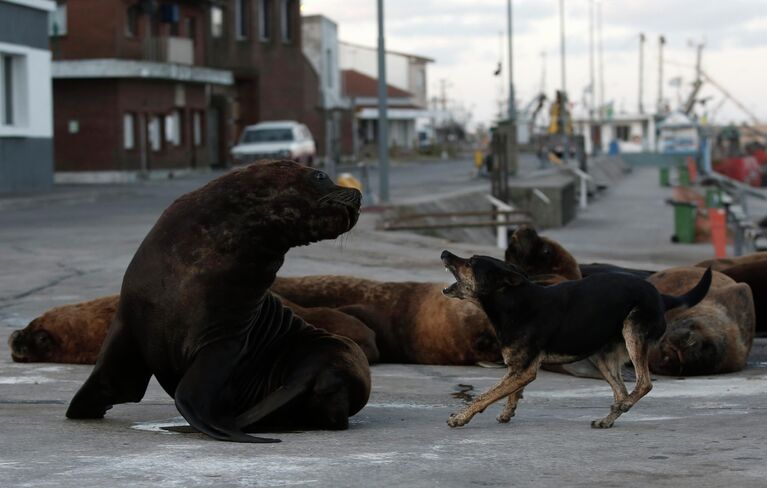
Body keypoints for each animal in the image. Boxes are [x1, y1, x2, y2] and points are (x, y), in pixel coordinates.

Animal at [440, 254, 716, 428]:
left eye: (471, 262)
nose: (444, 253)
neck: (513, 301)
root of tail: (660, 296)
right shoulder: (520, 368)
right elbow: (509, 391)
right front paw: (508, 411)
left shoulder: (524, 369)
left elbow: (485, 395)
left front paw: (460, 417)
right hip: (601, 355)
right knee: (621, 389)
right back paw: (609, 418)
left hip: (633, 333)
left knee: (643, 383)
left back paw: (624, 406)